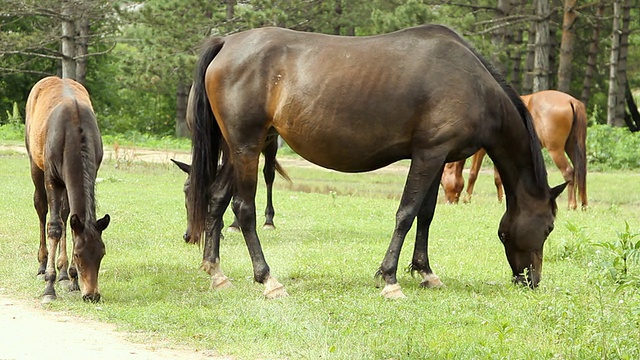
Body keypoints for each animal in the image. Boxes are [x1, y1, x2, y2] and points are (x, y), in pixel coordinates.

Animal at [25, 76, 109, 304]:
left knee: (64, 214)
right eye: (79, 254)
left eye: (102, 254)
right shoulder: (52, 179)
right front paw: (49, 287)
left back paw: (63, 272)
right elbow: (54, 226)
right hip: (35, 164)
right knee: (41, 208)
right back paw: (42, 266)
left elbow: (70, 223)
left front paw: (72, 279)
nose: (92, 295)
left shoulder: (91, 172)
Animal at [442, 89, 588, 211]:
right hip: (572, 147)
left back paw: (571, 205)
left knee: (569, 172)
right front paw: (501, 201)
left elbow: (473, 173)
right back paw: (584, 205)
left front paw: (467, 199)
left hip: (555, 150)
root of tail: (572, 101)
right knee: (582, 173)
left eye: (442, 183)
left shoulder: (481, 151)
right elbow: (498, 178)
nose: (449, 202)